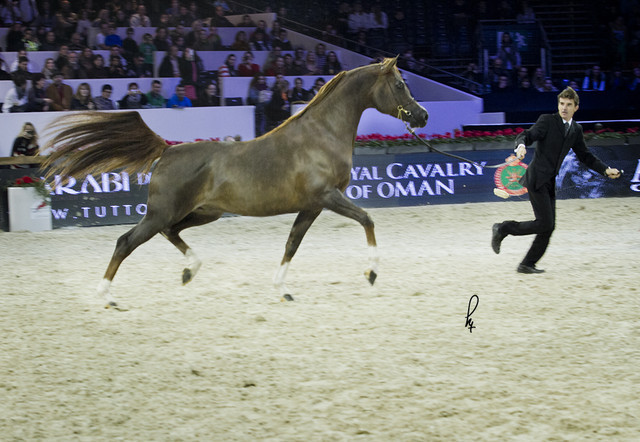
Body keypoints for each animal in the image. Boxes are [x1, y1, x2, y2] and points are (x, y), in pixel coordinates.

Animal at [42, 57, 428, 309]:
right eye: (399, 84)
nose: (422, 115)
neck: (321, 135)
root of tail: (167, 150)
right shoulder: (327, 197)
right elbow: (367, 219)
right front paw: (371, 272)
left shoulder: (311, 206)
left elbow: (291, 244)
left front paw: (282, 290)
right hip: (161, 213)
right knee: (126, 241)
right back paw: (107, 296)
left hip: (200, 213)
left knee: (171, 233)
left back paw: (189, 271)